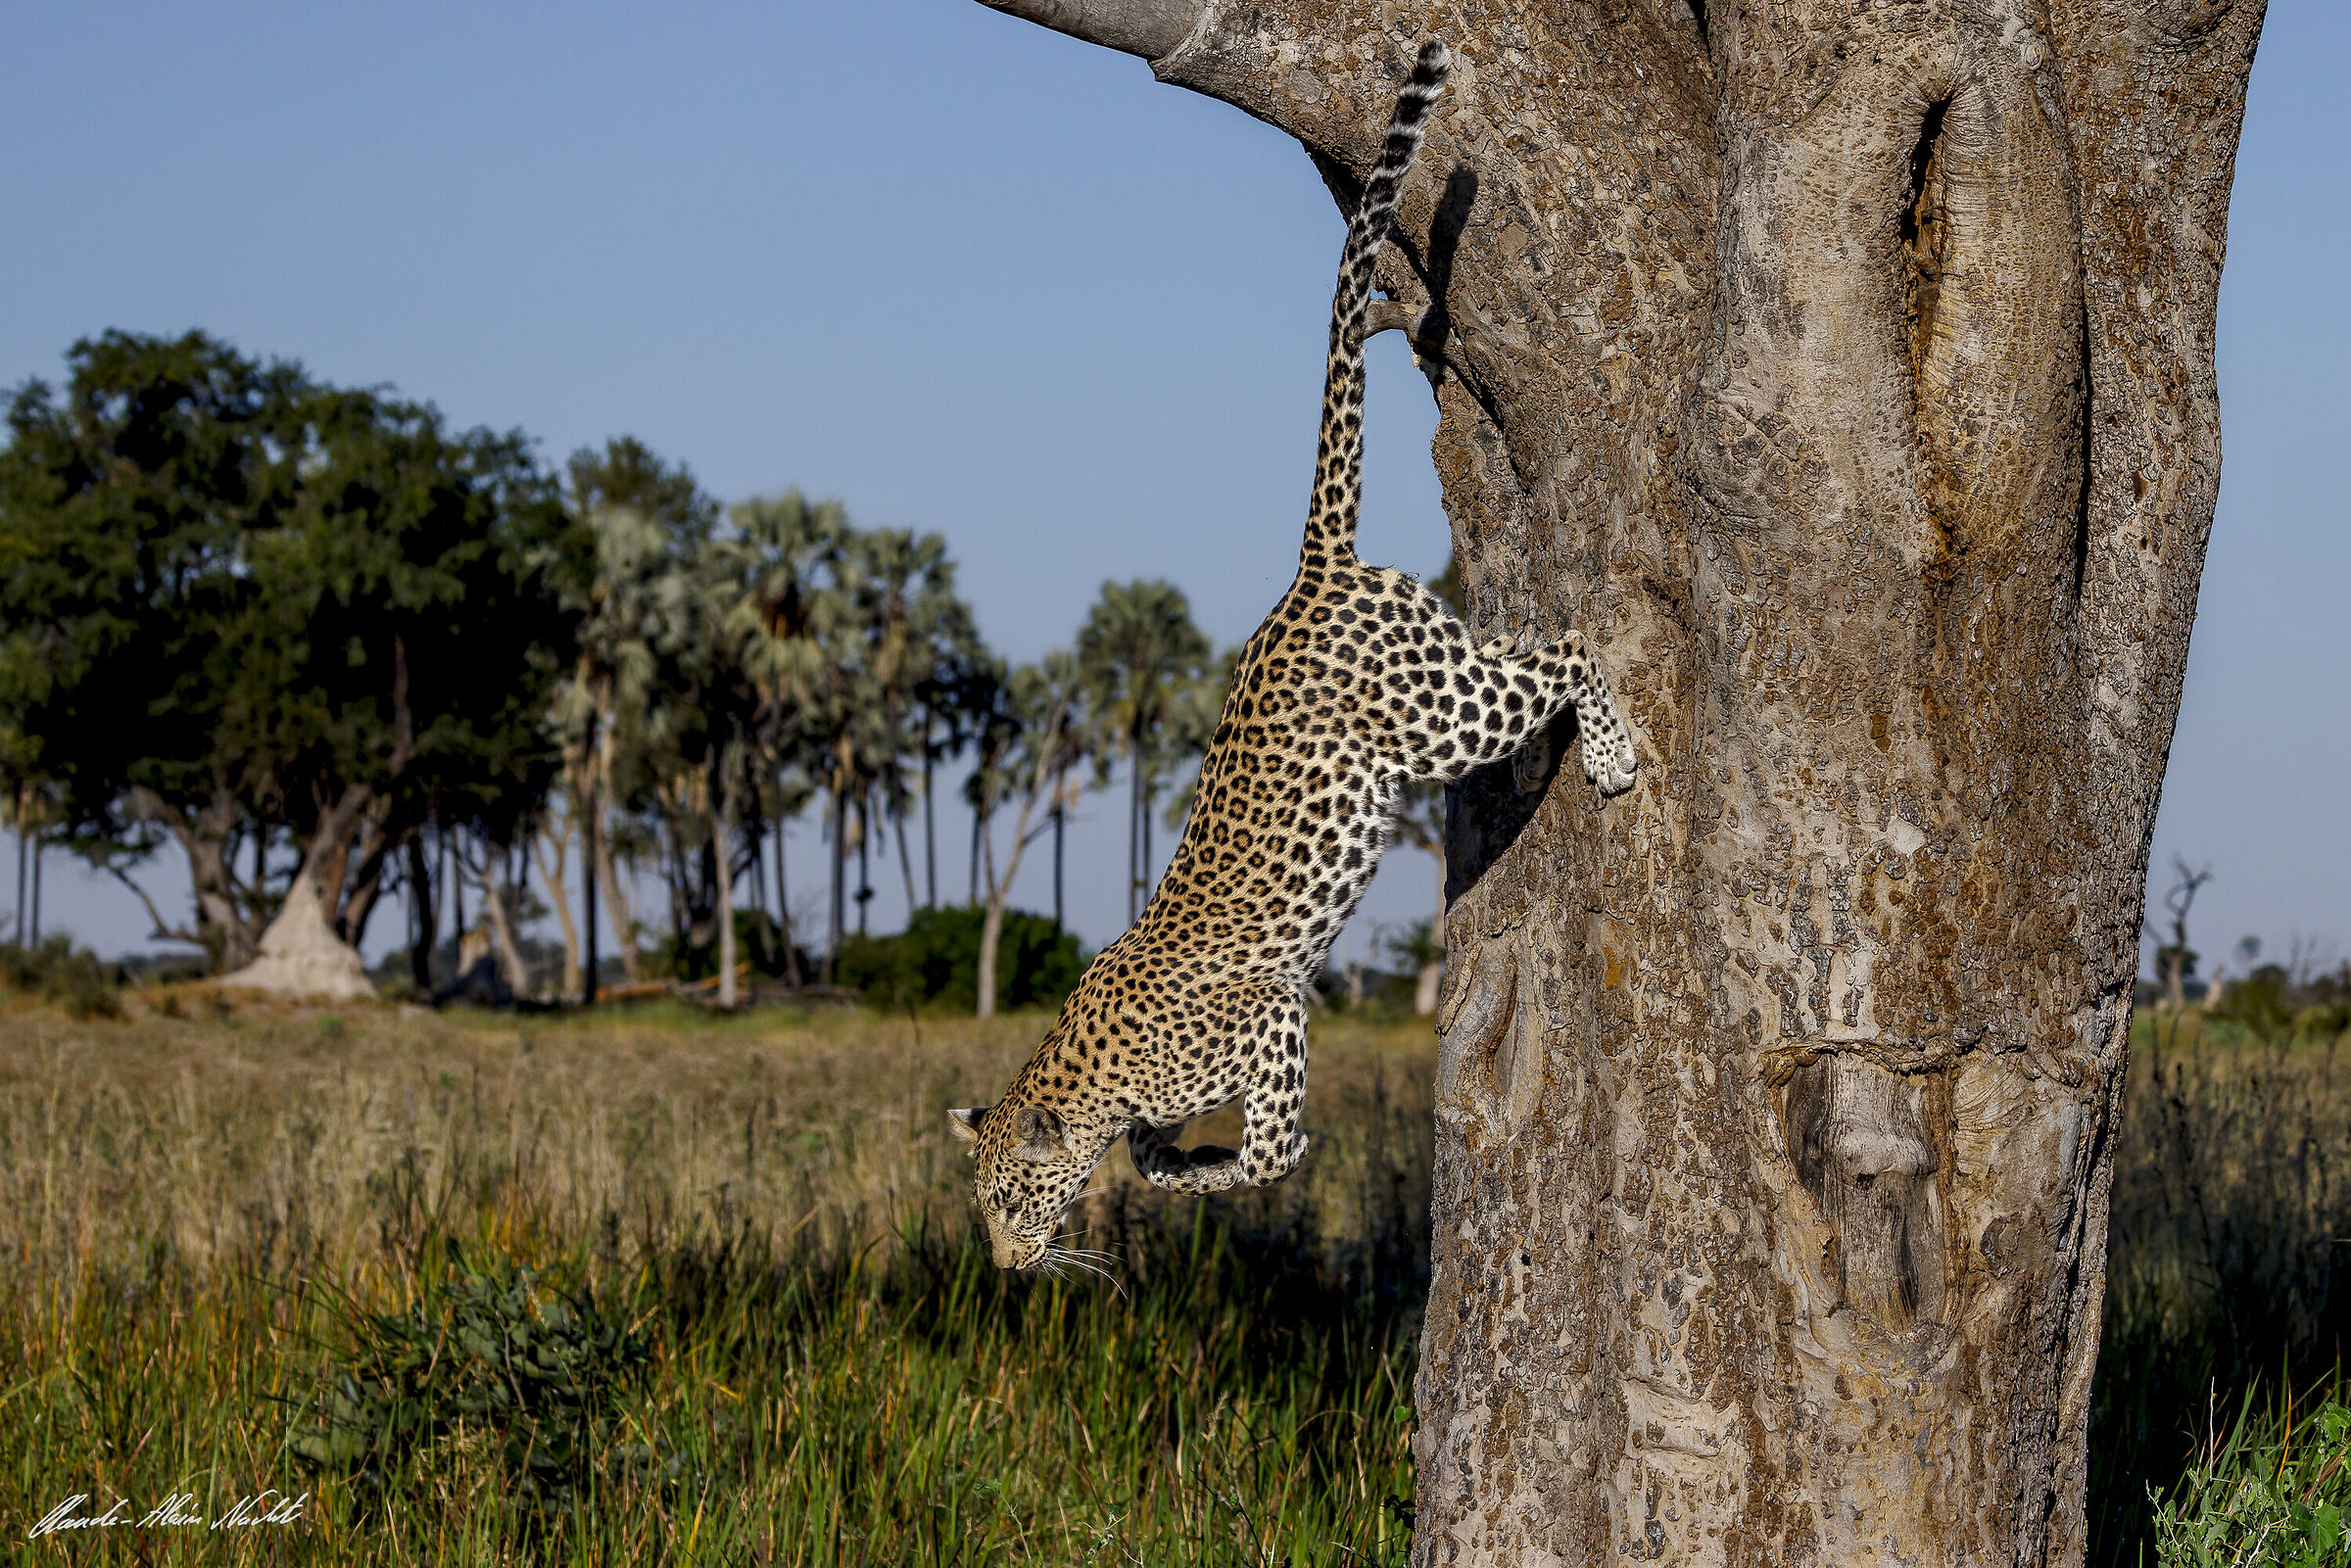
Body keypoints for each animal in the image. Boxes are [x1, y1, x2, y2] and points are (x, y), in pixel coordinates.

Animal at [949, 39, 1638, 1274]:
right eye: (985, 1204)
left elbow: (1264, 1149)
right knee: (1531, 656)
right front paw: (1178, 1164)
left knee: (1569, 643)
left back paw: (1610, 753)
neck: (1092, 1071)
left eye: (1016, 1200)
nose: (1007, 1264)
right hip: (1440, 680)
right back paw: (1536, 765)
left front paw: (1252, 1158)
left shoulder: (1276, 1011)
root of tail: (1310, 572)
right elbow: (1152, 1153)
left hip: (1433, 713)